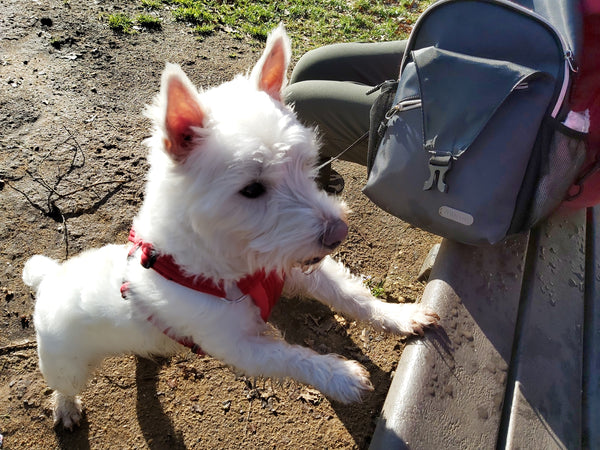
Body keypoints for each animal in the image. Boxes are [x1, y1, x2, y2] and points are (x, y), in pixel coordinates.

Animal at [23, 23, 438, 428]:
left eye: (306, 163)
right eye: (252, 189)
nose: (338, 234)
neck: (227, 264)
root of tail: (49, 278)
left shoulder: (291, 265)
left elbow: (351, 295)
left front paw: (400, 316)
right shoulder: (237, 345)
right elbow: (291, 356)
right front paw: (340, 376)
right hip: (65, 362)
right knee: (63, 385)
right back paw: (66, 408)